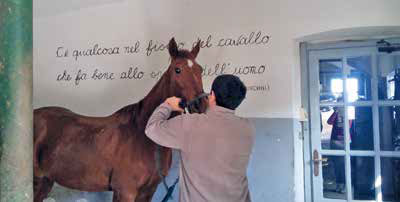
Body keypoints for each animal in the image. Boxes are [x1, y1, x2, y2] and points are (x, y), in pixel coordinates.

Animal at [33, 38, 206, 202]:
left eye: (200, 70)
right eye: (178, 70)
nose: (201, 105)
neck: (144, 136)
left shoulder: (147, 192)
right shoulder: (125, 191)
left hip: (45, 182)